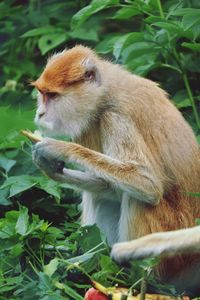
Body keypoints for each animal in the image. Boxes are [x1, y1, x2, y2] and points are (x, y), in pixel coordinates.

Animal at [31, 45, 200, 296]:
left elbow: (146, 183)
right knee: (101, 196)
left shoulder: (115, 118)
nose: (40, 114)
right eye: (42, 94)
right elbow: (109, 186)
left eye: (52, 96)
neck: (104, 95)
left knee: (138, 199)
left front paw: (58, 148)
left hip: (172, 255)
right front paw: (49, 167)